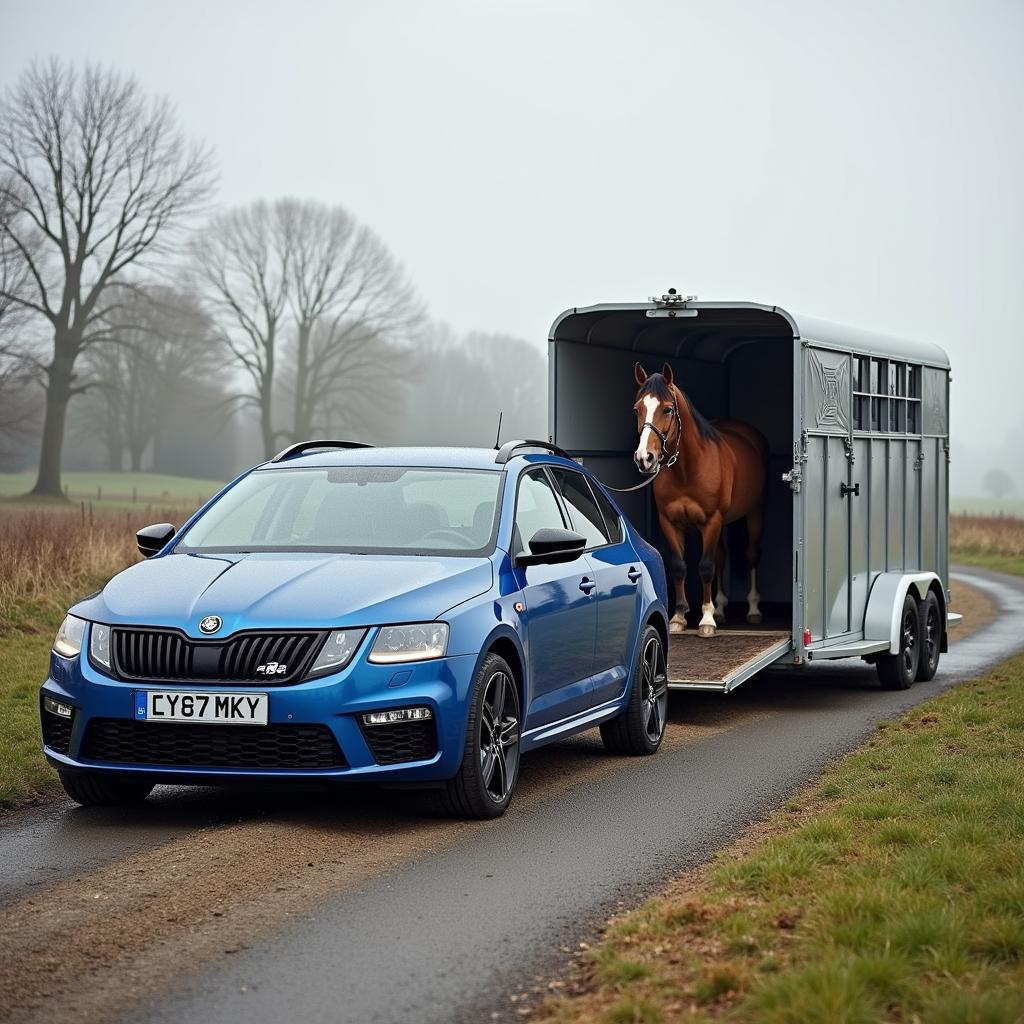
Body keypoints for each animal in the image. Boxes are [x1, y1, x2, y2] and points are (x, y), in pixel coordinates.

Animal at [630, 366, 770, 638]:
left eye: (667, 409)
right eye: (637, 408)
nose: (644, 458)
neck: (687, 469)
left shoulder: (711, 520)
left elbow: (705, 566)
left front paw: (706, 620)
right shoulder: (670, 522)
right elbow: (679, 566)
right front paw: (679, 617)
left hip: (755, 512)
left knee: (750, 554)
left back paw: (753, 609)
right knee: (721, 557)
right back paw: (721, 608)